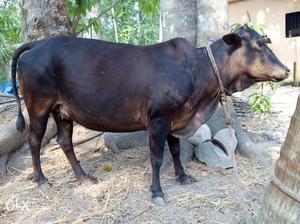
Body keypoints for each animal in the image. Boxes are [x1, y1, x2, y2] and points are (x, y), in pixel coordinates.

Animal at [11, 25, 288, 205]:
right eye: (258, 44)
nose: (286, 70)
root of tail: (39, 43)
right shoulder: (159, 119)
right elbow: (157, 157)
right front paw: (157, 192)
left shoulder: (176, 118)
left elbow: (175, 150)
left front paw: (183, 176)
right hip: (38, 105)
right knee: (34, 140)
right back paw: (41, 179)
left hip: (63, 110)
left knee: (64, 141)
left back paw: (84, 177)